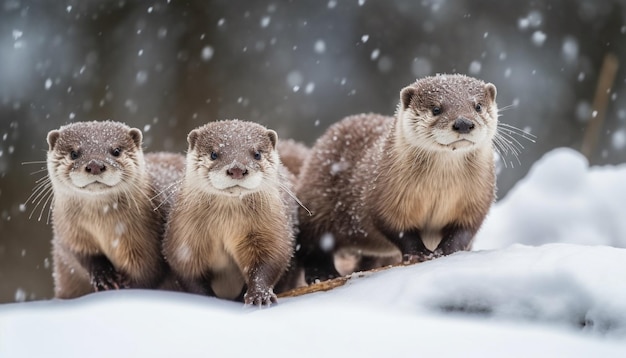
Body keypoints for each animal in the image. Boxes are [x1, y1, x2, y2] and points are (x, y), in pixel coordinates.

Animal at [45, 121, 184, 298]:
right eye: (74, 153)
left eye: (116, 151)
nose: (95, 165)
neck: (103, 228)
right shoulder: (69, 233)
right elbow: (81, 255)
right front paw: (104, 276)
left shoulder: (148, 241)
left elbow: (149, 273)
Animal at [161, 119, 298, 306]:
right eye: (213, 154)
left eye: (257, 154)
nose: (237, 169)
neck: (226, 224)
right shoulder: (183, 238)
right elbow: (188, 273)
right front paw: (206, 298)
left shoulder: (270, 229)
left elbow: (270, 260)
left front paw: (259, 295)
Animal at [294, 74, 498, 284]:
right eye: (436, 109)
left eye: (478, 106)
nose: (463, 123)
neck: (440, 187)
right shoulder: (385, 195)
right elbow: (396, 227)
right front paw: (418, 253)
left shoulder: (478, 199)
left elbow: (465, 230)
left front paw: (447, 251)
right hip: (317, 201)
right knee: (312, 245)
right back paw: (323, 274)